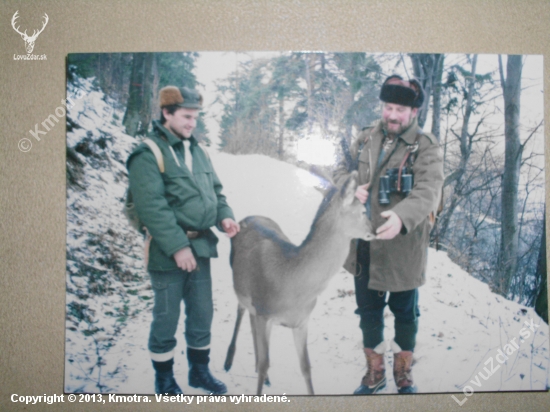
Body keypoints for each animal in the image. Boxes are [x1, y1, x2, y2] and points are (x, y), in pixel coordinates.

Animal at [223, 169, 376, 394]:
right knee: (240, 310)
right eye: (364, 211)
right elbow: (265, 363)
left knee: (250, 319)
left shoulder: (301, 321)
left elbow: (305, 367)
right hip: (239, 284)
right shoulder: (265, 313)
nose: (374, 230)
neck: (293, 284)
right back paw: (228, 360)